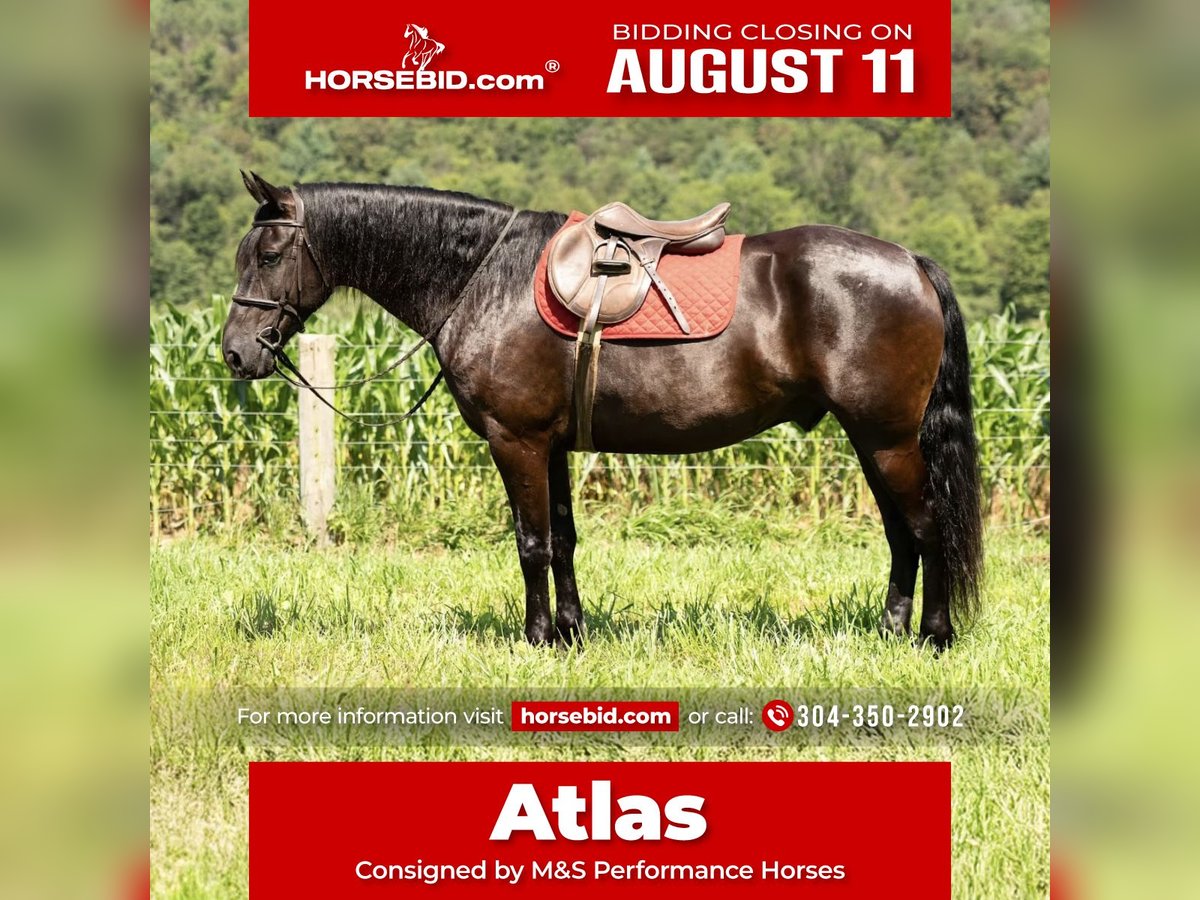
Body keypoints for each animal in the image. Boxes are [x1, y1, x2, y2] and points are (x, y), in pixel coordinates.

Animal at [222, 172, 983, 651]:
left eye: (270, 253)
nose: (235, 352)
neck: (482, 278)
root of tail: (909, 262)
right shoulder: (551, 445)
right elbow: (561, 540)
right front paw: (571, 633)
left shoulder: (517, 441)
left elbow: (530, 542)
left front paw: (534, 639)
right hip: (873, 440)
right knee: (901, 534)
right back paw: (892, 629)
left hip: (887, 438)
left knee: (926, 527)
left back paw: (934, 636)